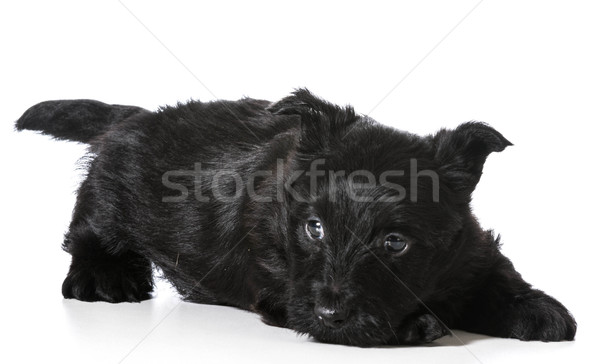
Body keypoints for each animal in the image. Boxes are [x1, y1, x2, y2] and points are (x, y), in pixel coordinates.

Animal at [15, 89, 576, 346]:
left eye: (395, 242)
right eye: (315, 227)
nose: (330, 316)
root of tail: (136, 116)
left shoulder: (468, 247)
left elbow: (497, 272)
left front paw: (538, 311)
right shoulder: (278, 282)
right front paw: (422, 324)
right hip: (110, 196)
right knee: (88, 230)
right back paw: (105, 278)